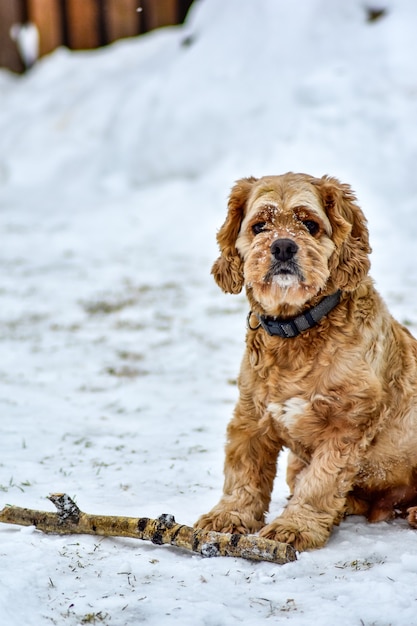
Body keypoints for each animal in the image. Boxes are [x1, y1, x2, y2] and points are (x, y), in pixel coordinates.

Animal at [197, 171, 416, 544]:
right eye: (259, 226)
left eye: (310, 224)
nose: (283, 246)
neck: (296, 330)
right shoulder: (251, 415)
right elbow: (243, 472)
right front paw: (228, 516)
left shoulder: (347, 423)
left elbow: (320, 482)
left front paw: (294, 527)